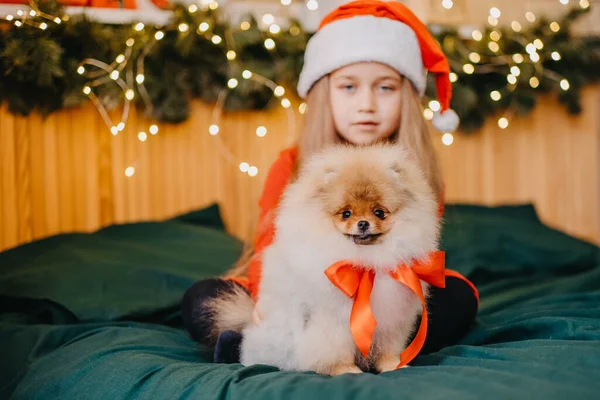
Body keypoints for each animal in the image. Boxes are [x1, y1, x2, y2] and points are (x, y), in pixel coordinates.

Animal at [209, 143, 438, 376]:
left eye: (379, 212)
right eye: (346, 213)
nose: (363, 223)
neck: (365, 262)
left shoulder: (391, 319)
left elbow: (387, 348)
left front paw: (393, 365)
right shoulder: (332, 321)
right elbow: (334, 349)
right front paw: (344, 369)